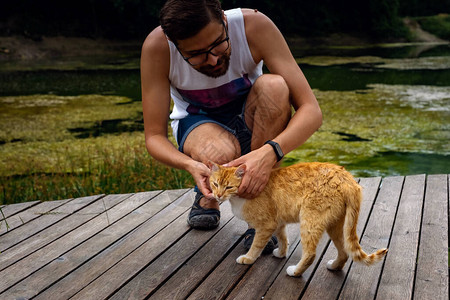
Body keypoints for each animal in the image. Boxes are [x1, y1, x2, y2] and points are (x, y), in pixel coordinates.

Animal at [207, 162, 386, 276]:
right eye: (215, 184)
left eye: (229, 187)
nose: (218, 195)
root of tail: (346, 178)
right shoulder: (278, 223)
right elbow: (283, 239)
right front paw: (281, 253)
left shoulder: (266, 225)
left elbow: (256, 246)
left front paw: (248, 259)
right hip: (336, 225)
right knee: (344, 252)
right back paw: (334, 266)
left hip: (309, 221)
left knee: (311, 254)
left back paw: (295, 272)